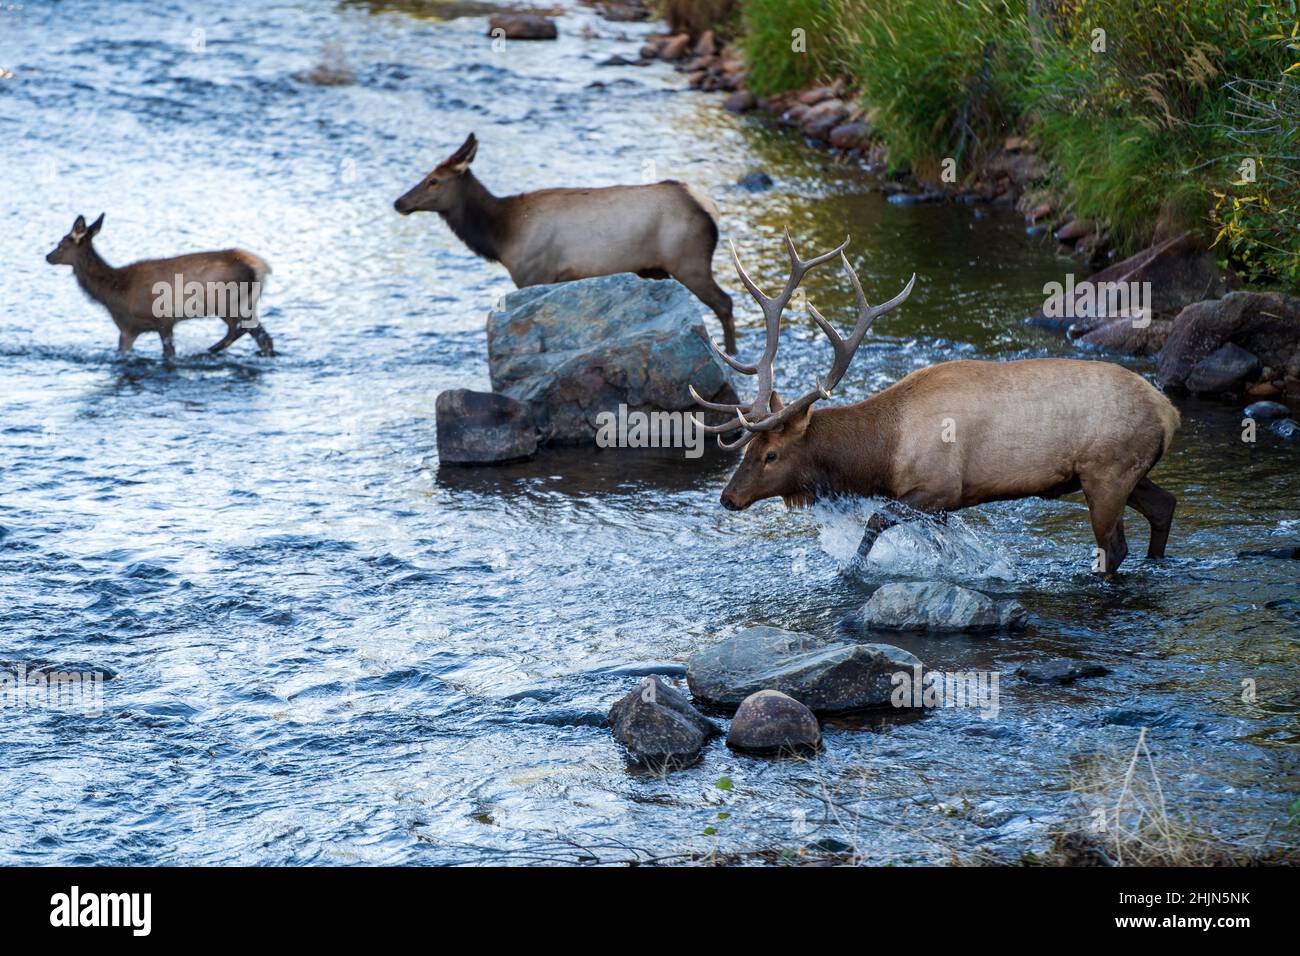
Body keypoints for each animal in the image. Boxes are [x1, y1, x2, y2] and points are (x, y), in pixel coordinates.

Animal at [47, 214, 274, 361]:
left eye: (60, 245)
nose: (47, 256)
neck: (113, 291)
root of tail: (260, 267)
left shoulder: (163, 319)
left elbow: (168, 354)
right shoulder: (128, 329)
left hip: (225, 301)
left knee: (239, 329)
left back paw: (207, 351)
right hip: (244, 304)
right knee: (263, 337)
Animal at [392, 134, 743, 356]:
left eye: (434, 181)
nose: (399, 202)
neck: (501, 235)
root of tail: (708, 205)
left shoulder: (533, 275)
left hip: (689, 259)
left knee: (724, 302)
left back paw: (732, 353)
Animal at [696, 234, 1185, 574]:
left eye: (772, 454)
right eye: (747, 449)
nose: (728, 498)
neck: (883, 451)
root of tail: (1171, 412)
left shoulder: (939, 486)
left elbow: (875, 522)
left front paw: (853, 569)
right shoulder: (942, 505)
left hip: (1107, 471)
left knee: (1114, 547)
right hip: (1120, 472)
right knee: (1165, 505)